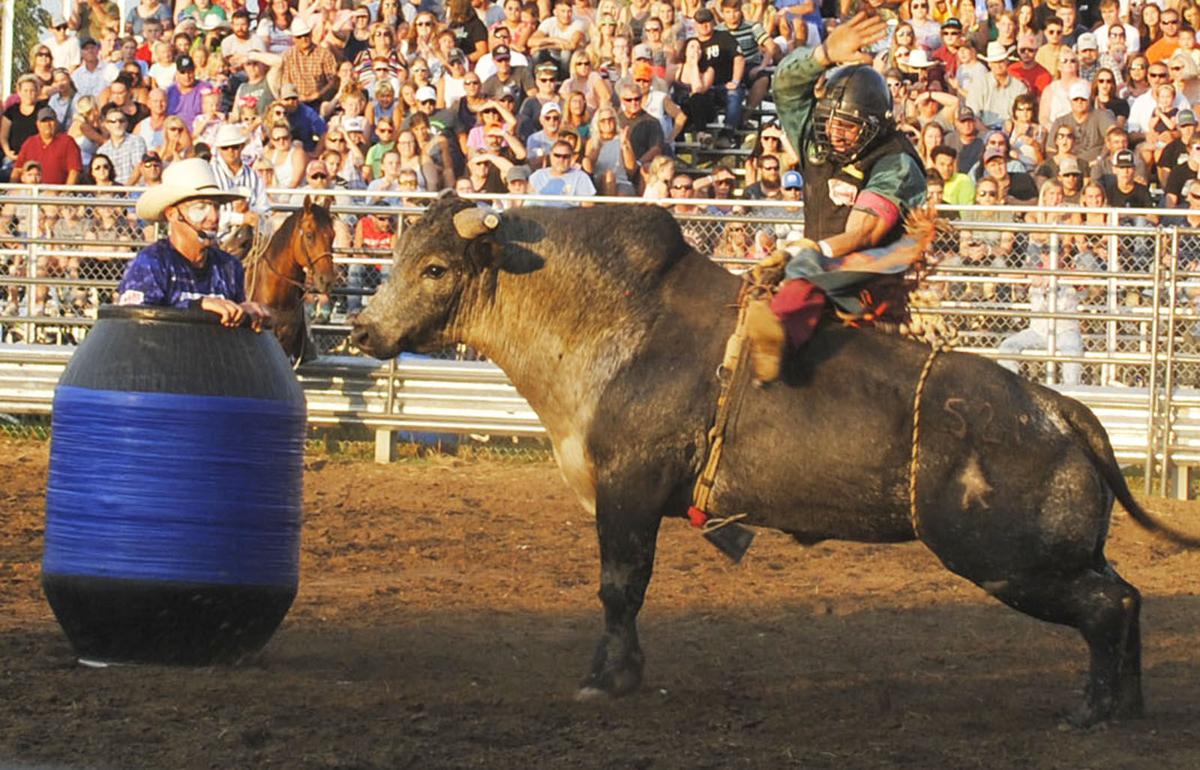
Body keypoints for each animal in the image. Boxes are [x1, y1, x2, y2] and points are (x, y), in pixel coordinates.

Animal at [350, 194, 1199, 727]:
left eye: (435, 269)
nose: (361, 331)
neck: (608, 321)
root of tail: (1056, 409)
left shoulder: (628, 491)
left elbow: (620, 587)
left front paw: (606, 679)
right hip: (1058, 554)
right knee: (1126, 598)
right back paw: (1124, 707)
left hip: (1007, 559)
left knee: (1107, 607)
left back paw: (1091, 711)